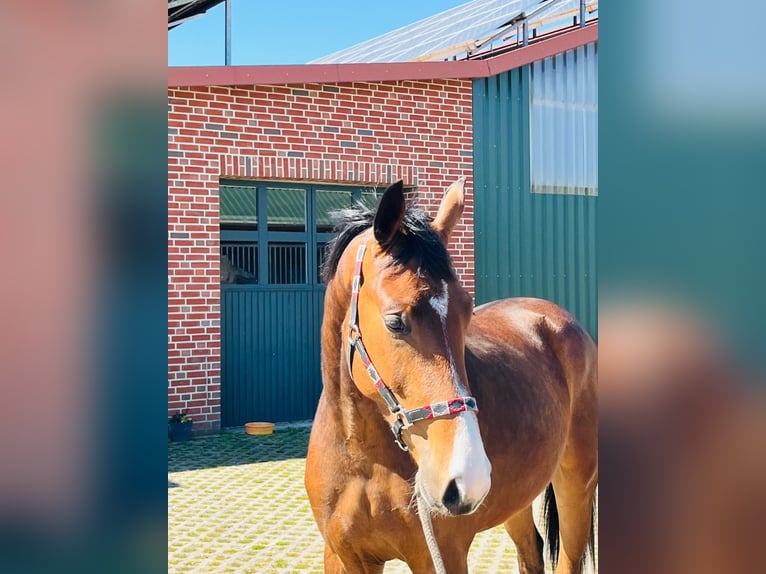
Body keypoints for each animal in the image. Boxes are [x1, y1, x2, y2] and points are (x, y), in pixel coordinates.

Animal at [305, 177, 598, 574]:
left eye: (467, 310)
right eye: (395, 321)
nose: (466, 479)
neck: (362, 458)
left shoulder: (444, 556)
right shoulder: (342, 557)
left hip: (576, 485)